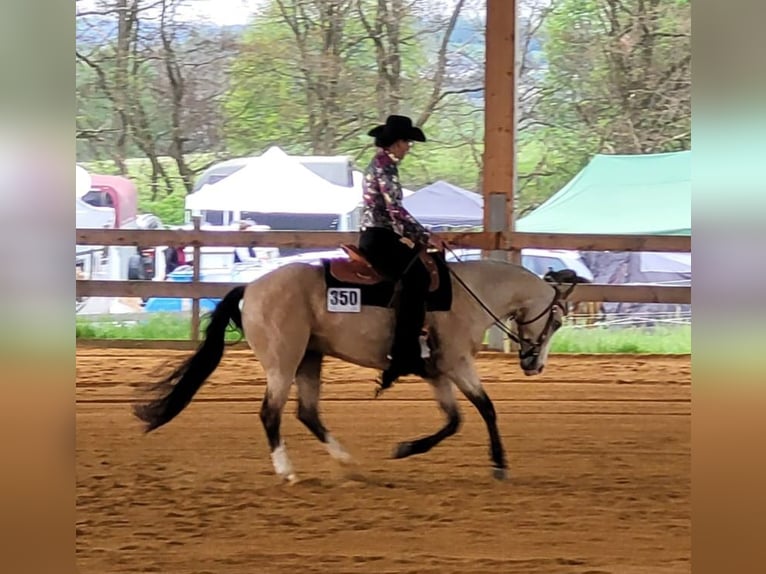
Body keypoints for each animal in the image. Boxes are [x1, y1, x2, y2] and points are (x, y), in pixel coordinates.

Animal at [132, 245, 580, 484]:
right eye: (557, 320)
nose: (535, 365)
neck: (469, 293)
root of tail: (252, 287)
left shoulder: (437, 371)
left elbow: (454, 420)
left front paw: (404, 448)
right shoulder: (456, 363)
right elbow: (486, 409)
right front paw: (500, 465)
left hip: (309, 358)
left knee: (307, 412)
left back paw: (348, 463)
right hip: (283, 360)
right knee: (270, 413)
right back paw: (288, 471)